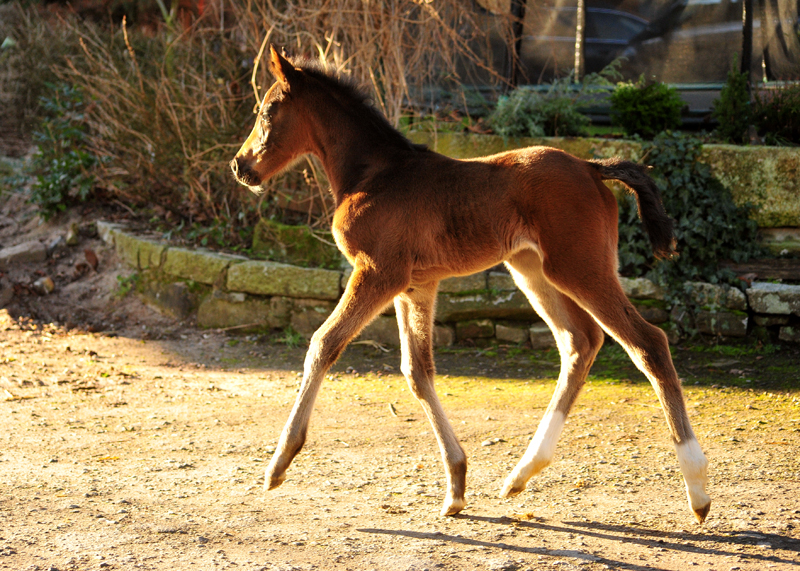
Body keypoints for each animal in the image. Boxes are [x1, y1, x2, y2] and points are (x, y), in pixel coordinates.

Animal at [231, 47, 712, 524]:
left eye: (267, 111)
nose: (240, 166)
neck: (374, 175)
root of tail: (592, 167)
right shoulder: (416, 286)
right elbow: (417, 371)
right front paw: (457, 486)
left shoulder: (378, 272)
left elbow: (323, 343)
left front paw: (279, 463)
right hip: (532, 271)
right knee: (580, 341)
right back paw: (522, 473)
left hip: (579, 268)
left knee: (648, 342)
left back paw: (698, 489)